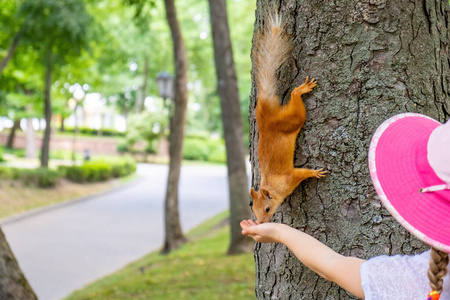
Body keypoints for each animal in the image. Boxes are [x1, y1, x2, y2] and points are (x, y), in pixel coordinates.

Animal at [250, 14, 326, 225]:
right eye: (254, 211)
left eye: (267, 208)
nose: (260, 223)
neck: (272, 187)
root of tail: (265, 113)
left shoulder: (289, 178)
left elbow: (301, 173)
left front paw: (315, 173)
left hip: (293, 119)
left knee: (294, 97)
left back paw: (301, 89)